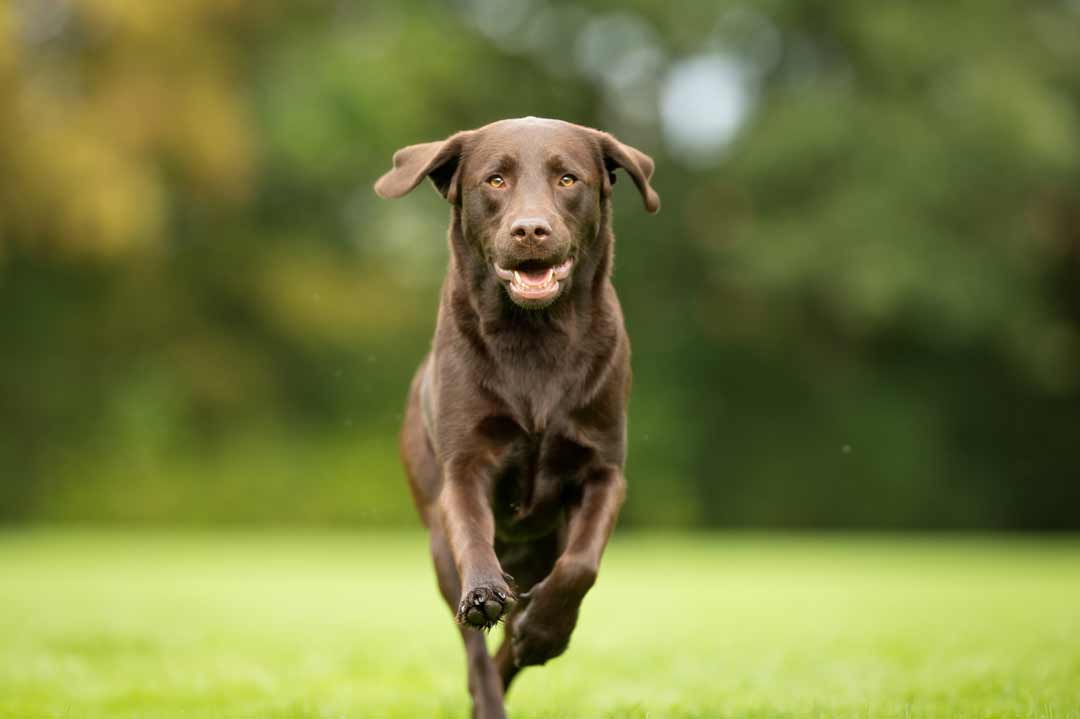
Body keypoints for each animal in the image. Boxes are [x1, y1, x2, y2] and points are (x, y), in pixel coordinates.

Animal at [371, 118, 656, 716]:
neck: (535, 338)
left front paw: (544, 631)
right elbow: (474, 539)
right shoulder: (464, 467)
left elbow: (581, 564)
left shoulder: (603, 472)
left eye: (568, 178)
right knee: (477, 653)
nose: (530, 230)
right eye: (495, 180)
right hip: (438, 546)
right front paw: (485, 593)